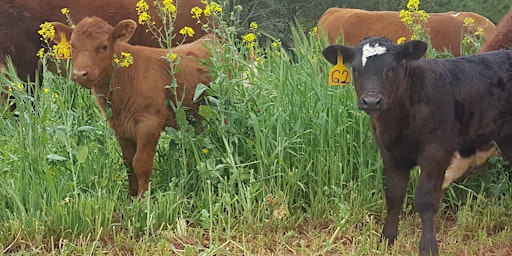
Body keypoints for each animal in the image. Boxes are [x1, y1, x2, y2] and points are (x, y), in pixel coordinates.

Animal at [52, 17, 220, 197]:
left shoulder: (149, 123)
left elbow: (141, 163)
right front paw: (131, 196)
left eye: (104, 46)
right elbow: (128, 163)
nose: (80, 74)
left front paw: (142, 198)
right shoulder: (120, 127)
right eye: (73, 45)